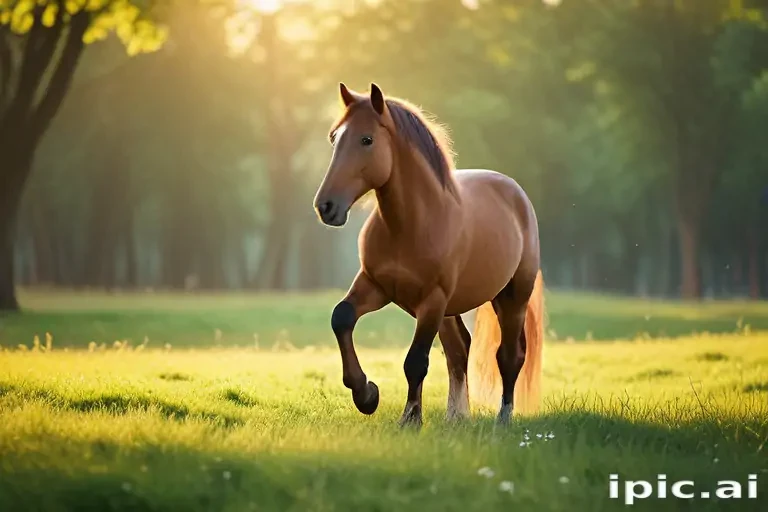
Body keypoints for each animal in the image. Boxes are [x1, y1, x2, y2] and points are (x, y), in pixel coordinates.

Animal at [313, 82, 545, 427]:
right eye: (334, 137)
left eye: (367, 139)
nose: (326, 206)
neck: (409, 226)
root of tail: (517, 194)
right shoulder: (376, 286)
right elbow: (341, 318)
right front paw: (366, 394)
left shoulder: (432, 300)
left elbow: (416, 361)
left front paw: (410, 419)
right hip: (451, 309)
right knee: (460, 349)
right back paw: (456, 416)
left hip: (510, 298)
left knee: (508, 356)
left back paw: (502, 419)